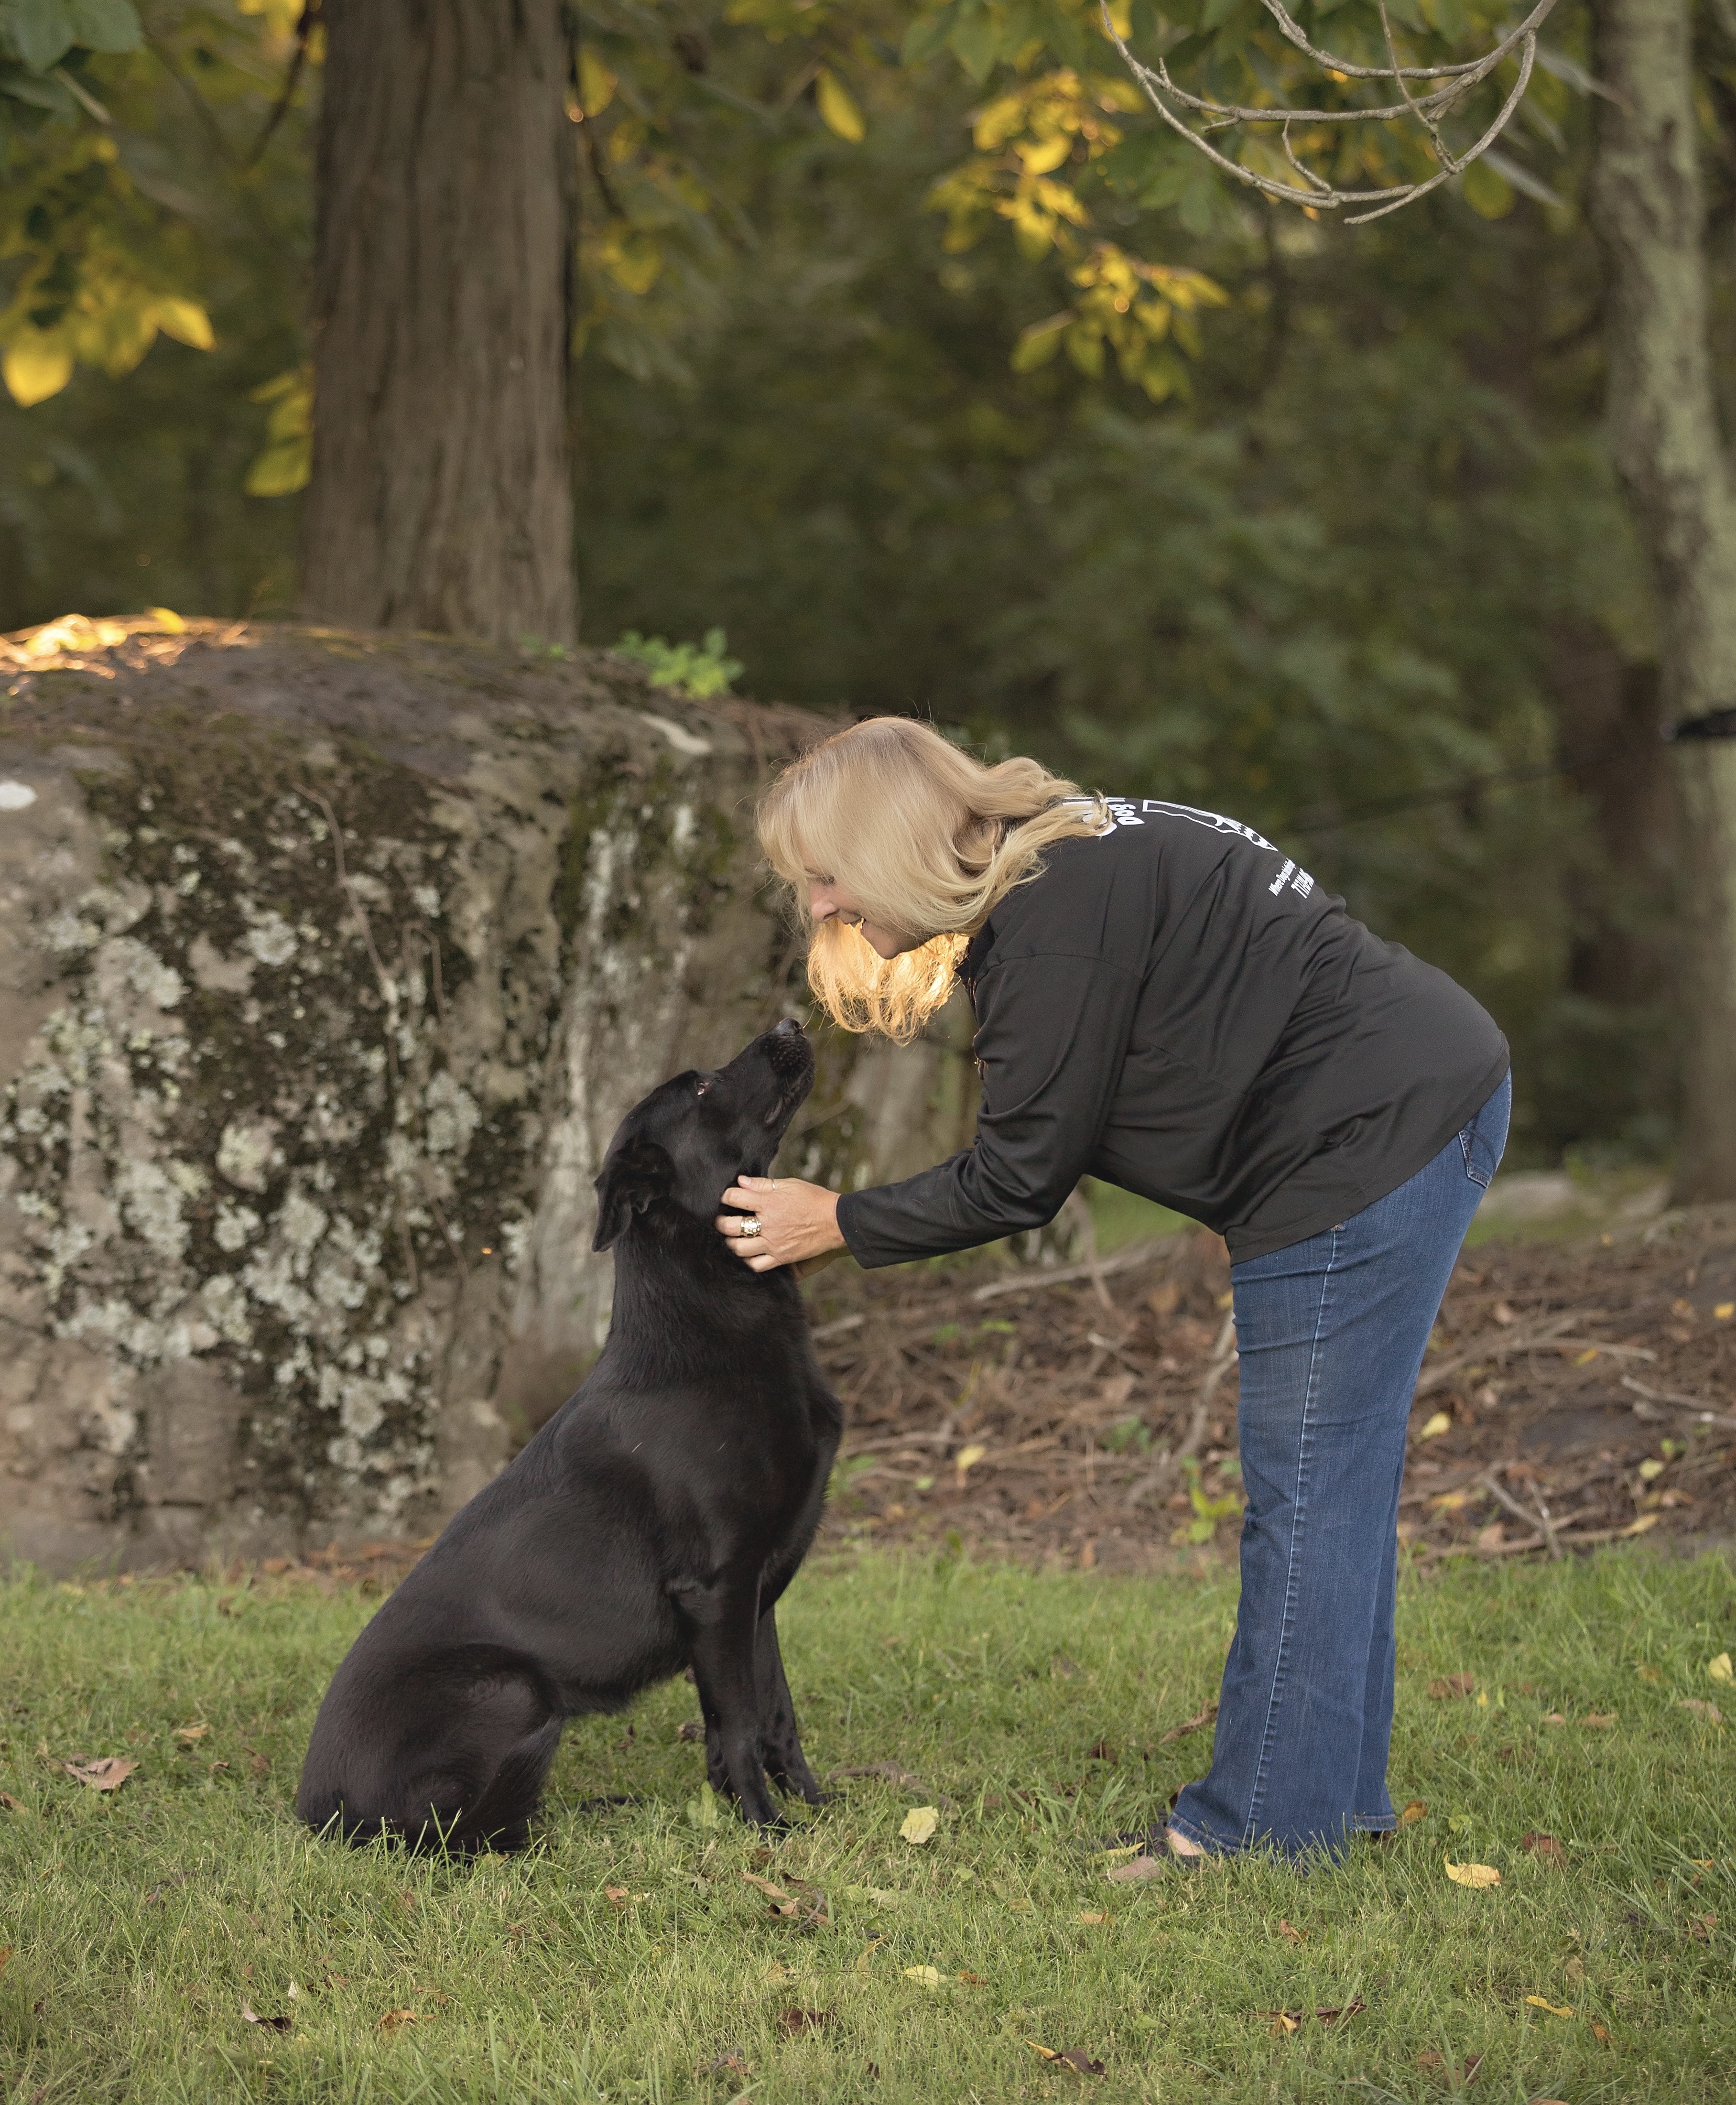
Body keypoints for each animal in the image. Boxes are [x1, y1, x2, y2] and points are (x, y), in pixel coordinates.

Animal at [299, 1027, 841, 1852]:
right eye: (702, 1089)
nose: (791, 1027)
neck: (709, 1317)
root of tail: (318, 1814)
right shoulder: (718, 1587)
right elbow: (740, 1724)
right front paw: (764, 1826)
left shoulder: (757, 1591)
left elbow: (777, 1715)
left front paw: (810, 1808)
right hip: (516, 1689)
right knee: (474, 1837)